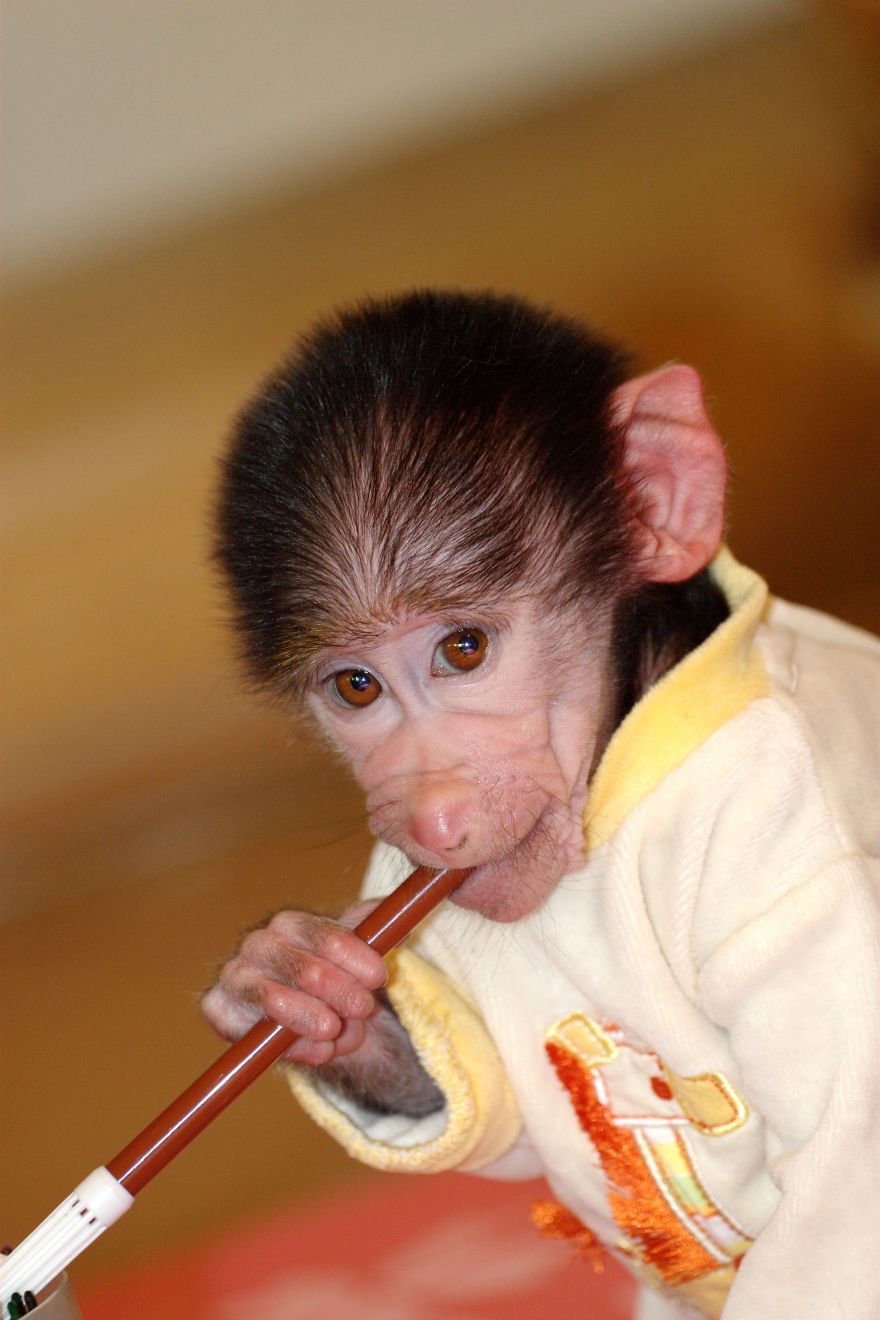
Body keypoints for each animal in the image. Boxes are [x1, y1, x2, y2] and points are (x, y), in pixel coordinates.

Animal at [202, 290, 880, 1320]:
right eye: (357, 689)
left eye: (465, 649)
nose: (433, 819)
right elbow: (500, 1131)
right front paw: (293, 984)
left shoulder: (808, 862)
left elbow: (838, 1205)